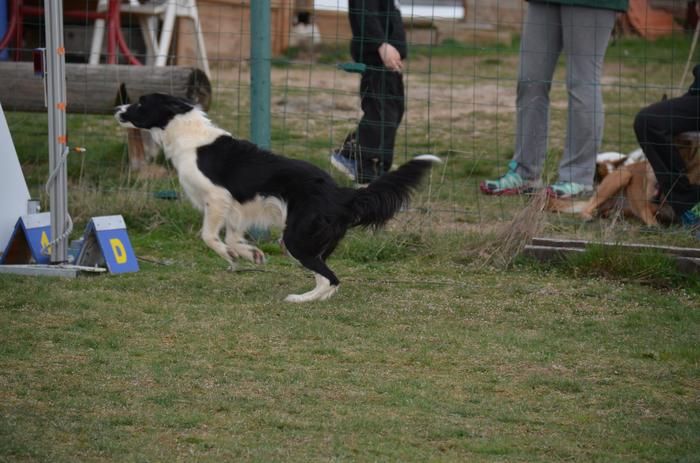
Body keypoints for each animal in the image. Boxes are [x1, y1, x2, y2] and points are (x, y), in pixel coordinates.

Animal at [117, 94, 440, 304]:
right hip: (306, 242)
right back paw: (309, 297)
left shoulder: (218, 197)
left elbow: (208, 236)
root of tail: (339, 192)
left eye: (141, 103)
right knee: (326, 276)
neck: (186, 133)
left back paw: (300, 299)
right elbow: (233, 236)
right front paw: (250, 254)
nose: (118, 109)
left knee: (331, 278)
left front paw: (230, 256)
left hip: (295, 239)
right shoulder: (240, 207)